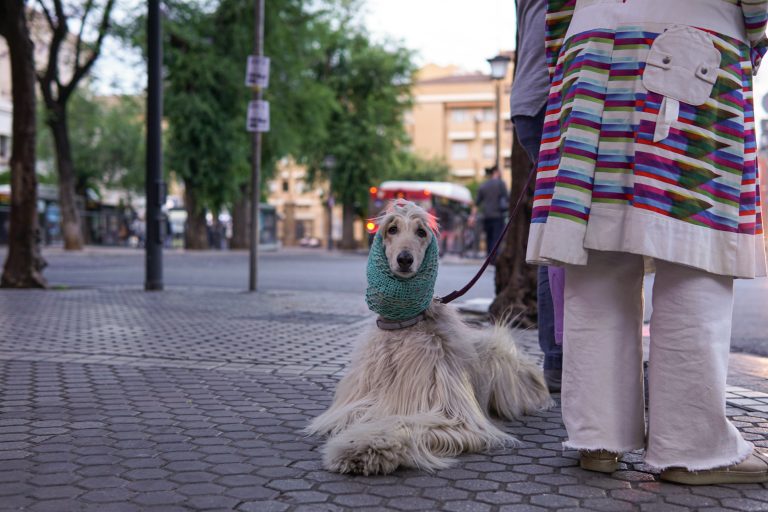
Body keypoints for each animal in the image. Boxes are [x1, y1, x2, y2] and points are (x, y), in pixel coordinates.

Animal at [306, 201, 552, 476]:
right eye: (392, 229)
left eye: (421, 232)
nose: (405, 259)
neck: (402, 326)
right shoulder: (361, 399)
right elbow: (356, 414)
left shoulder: (451, 414)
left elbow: (402, 424)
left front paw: (362, 448)